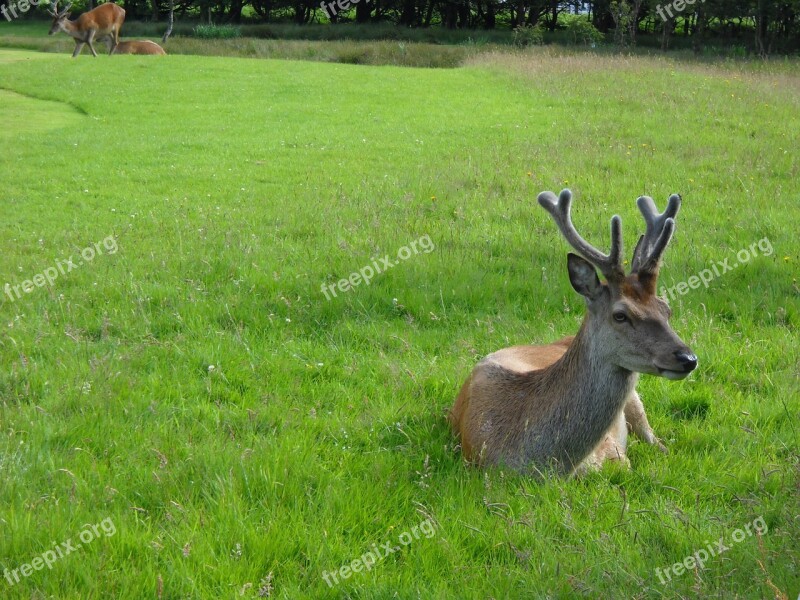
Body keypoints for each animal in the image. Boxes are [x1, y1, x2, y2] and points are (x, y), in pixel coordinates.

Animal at [446, 190, 696, 476]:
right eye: (620, 315)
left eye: (666, 309)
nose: (688, 358)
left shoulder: (616, 453)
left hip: (636, 403)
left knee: (657, 441)